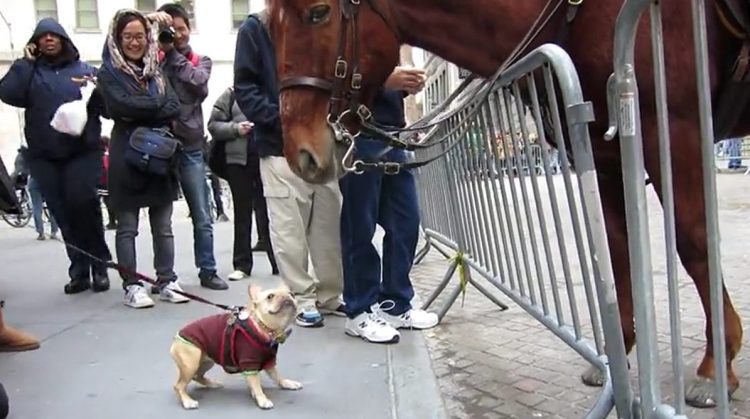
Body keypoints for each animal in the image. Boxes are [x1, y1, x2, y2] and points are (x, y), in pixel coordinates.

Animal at [169, 286, 302, 410]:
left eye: (292, 294)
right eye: (270, 296)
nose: (288, 297)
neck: (264, 327)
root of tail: (176, 338)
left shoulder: (269, 361)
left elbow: (277, 376)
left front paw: (287, 383)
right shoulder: (249, 364)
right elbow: (256, 384)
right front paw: (262, 399)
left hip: (205, 362)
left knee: (197, 376)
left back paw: (212, 384)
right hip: (190, 364)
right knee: (179, 385)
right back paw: (187, 401)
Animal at [268, 0, 748, 408]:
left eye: (318, 12)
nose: (301, 154)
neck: (582, 14)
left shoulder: (676, 128)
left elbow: (695, 243)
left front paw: (714, 366)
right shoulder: (605, 150)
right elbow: (615, 251)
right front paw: (618, 359)